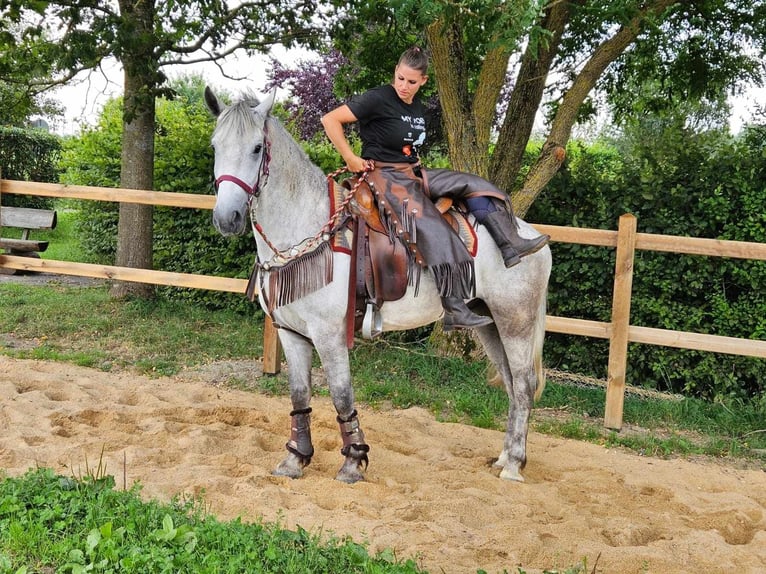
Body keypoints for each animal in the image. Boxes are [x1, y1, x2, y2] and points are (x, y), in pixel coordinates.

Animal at [204, 88, 552, 484]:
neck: (307, 231)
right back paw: (505, 456)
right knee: (511, 383)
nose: (227, 218)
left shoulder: (329, 334)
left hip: (515, 320)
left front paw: (353, 462)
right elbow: (299, 395)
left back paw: (513, 464)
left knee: (523, 384)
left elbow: (341, 395)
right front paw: (295, 460)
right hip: (489, 323)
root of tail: (534, 238)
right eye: (215, 146)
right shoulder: (291, 333)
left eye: (257, 148)